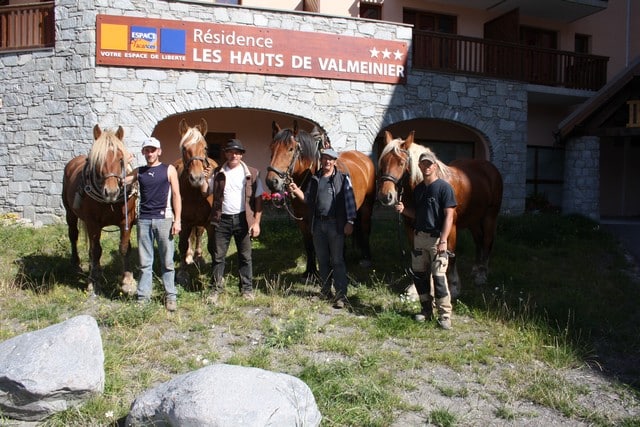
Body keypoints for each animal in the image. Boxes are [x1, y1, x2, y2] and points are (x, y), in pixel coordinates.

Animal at [62, 123, 137, 298]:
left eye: (121, 159)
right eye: (98, 160)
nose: (111, 192)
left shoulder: (127, 219)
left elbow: (124, 248)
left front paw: (127, 281)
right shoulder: (93, 223)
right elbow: (96, 251)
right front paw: (94, 282)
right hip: (70, 213)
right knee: (74, 235)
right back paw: (77, 264)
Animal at [172, 118, 218, 284]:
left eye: (205, 147)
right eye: (184, 148)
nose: (197, 178)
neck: (196, 192)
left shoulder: (210, 222)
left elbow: (212, 247)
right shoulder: (184, 221)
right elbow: (183, 245)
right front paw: (182, 272)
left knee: (198, 234)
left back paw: (198, 256)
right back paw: (190, 256)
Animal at [264, 120, 376, 278]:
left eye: (291, 149)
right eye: (272, 148)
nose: (272, 182)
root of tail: (363, 158)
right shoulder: (303, 221)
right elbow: (309, 245)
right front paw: (310, 271)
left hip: (367, 205)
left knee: (365, 228)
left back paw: (365, 258)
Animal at [376, 131, 504, 298]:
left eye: (401, 163)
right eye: (383, 162)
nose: (386, 196)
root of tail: (490, 168)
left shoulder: (450, 227)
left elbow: (451, 255)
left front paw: (454, 287)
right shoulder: (411, 227)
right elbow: (417, 255)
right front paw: (415, 288)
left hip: (490, 216)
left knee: (487, 240)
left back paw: (482, 275)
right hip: (473, 220)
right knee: (479, 241)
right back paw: (476, 270)